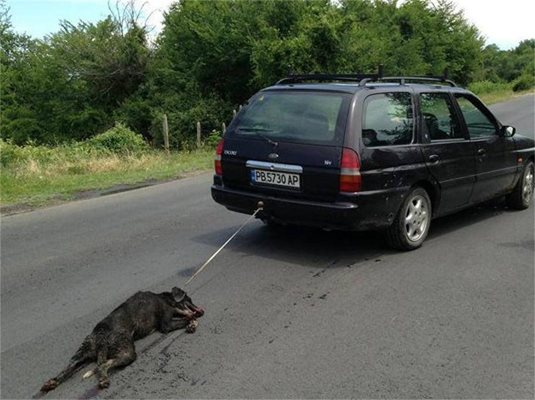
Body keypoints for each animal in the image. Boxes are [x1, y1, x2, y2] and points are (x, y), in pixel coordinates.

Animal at [40, 286, 205, 392]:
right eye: (190, 299)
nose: (202, 310)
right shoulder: (166, 324)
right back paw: (104, 380)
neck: (165, 298)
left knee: (68, 368)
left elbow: (188, 317)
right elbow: (188, 318)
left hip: (82, 352)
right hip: (127, 353)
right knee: (103, 365)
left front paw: (192, 323)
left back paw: (52, 382)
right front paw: (192, 322)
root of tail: (102, 338)